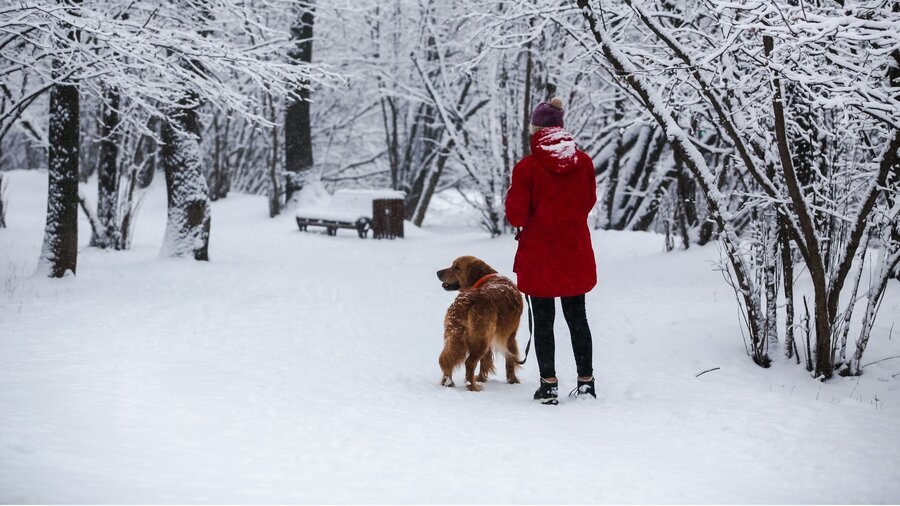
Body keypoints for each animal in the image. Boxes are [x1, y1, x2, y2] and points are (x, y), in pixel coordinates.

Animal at [434, 256, 520, 392]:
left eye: (456, 267)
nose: (438, 273)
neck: (486, 278)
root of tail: (467, 301)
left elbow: (485, 360)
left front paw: (481, 378)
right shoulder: (511, 335)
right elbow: (510, 358)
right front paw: (513, 381)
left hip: (455, 335)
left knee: (445, 359)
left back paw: (448, 382)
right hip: (481, 338)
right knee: (469, 362)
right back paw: (473, 386)